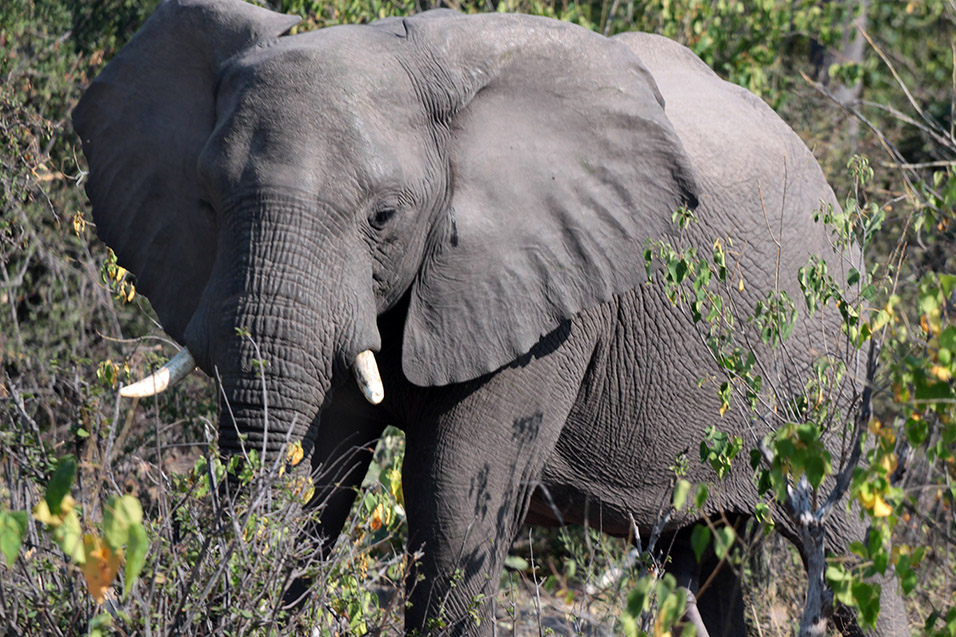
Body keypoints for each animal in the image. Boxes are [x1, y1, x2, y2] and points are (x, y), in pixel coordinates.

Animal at [71, 2, 908, 632]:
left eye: (383, 216)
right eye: (208, 200)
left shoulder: (553, 300)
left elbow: (453, 502)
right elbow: (318, 476)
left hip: (828, 354)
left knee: (845, 546)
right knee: (703, 559)